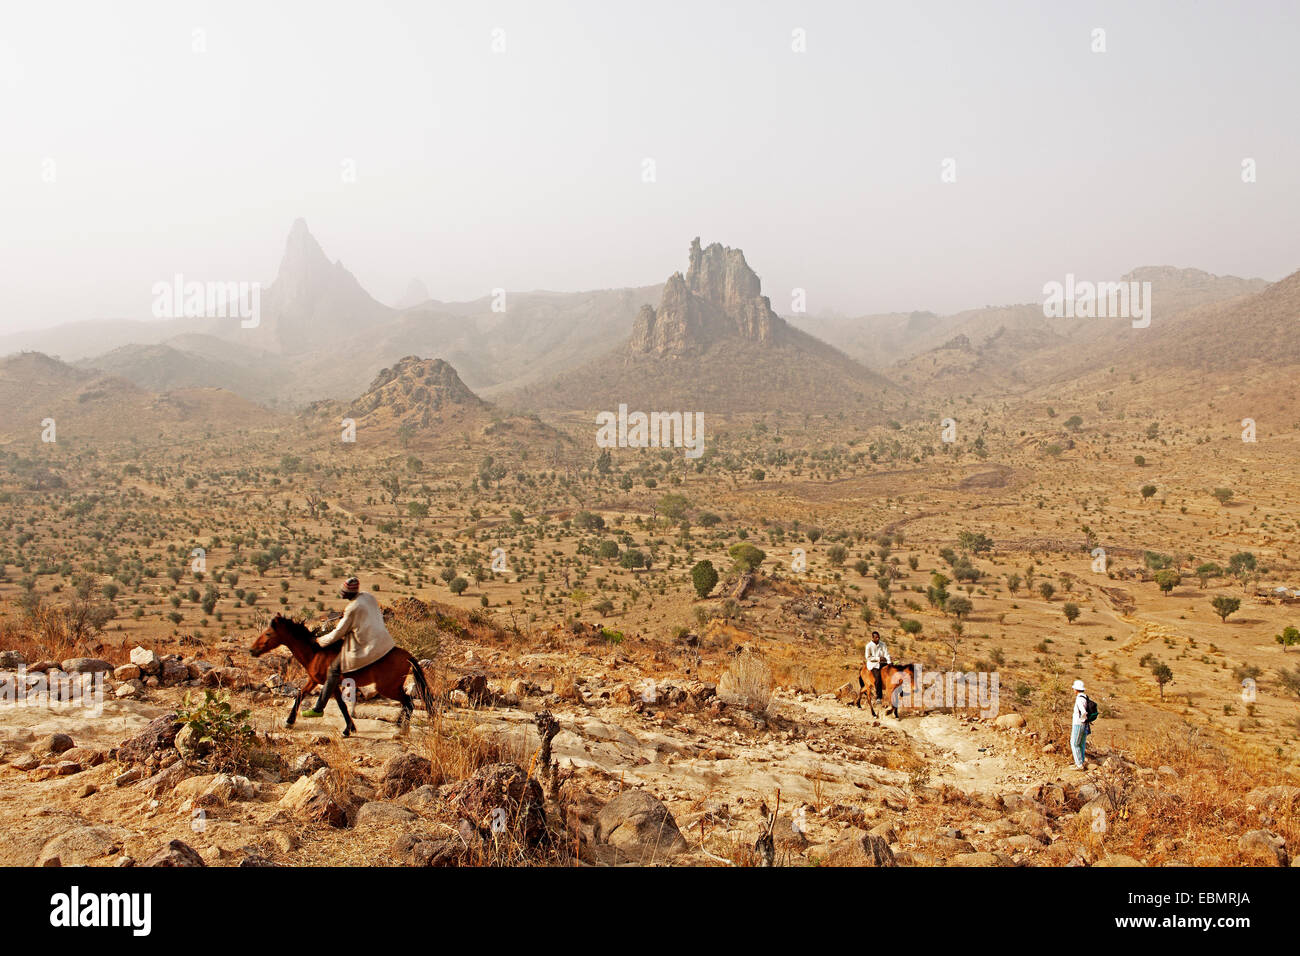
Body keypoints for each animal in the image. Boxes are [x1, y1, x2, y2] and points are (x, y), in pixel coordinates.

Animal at [248, 616, 436, 738]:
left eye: (268, 634)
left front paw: (347, 730)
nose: (252, 650)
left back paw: (402, 729)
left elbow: (341, 706)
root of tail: (408, 655)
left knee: (408, 702)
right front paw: (290, 721)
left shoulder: (331, 683)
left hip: (387, 687)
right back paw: (399, 724)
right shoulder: (316, 681)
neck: (316, 653)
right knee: (407, 702)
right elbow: (301, 695)